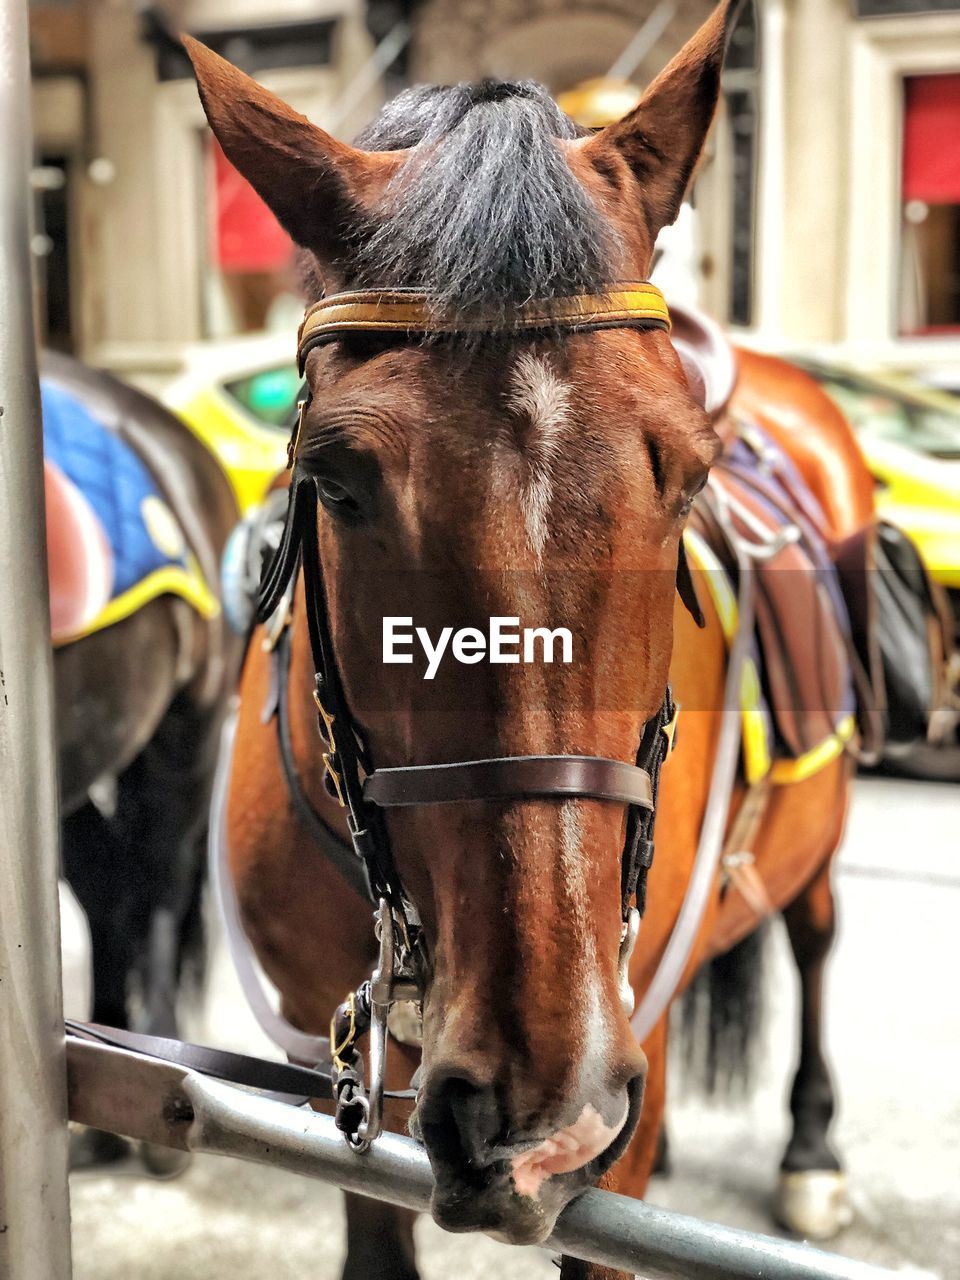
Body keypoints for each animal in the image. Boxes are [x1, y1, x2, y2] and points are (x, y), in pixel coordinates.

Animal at [185, 5, 870, 1274]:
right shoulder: (344, 1096)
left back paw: (812, 1146)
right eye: (335, 481)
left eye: (687, 473)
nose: (536, 1107)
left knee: (812, 933)